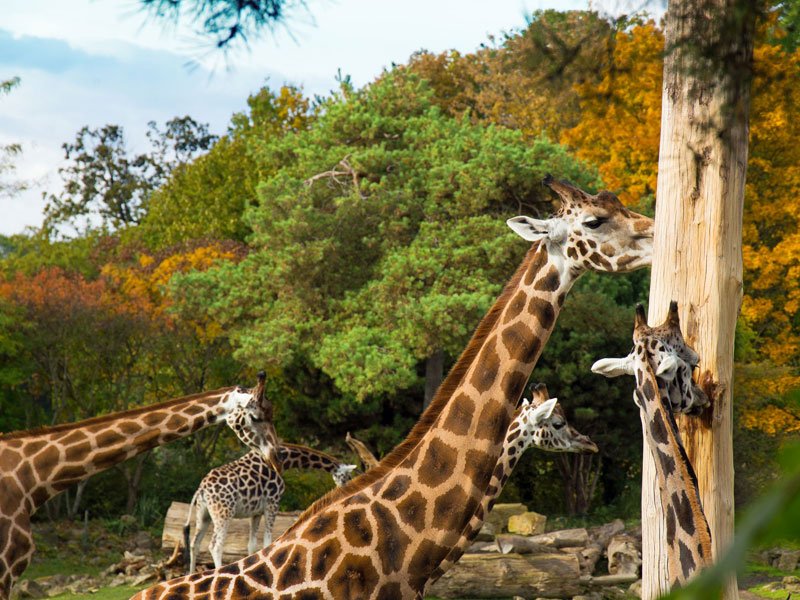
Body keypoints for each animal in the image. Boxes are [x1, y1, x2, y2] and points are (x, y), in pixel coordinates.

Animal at [185, 442, 356, 576]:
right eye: (347, 477)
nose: (348, 490)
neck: (285, 461)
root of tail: (201, 489)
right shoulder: (273, 503)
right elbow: (268, 542)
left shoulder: (256, 512)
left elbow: (252, 545)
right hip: (224, 513)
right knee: (215, 545)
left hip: (204, 514)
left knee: (195, 543)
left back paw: (191, 574)